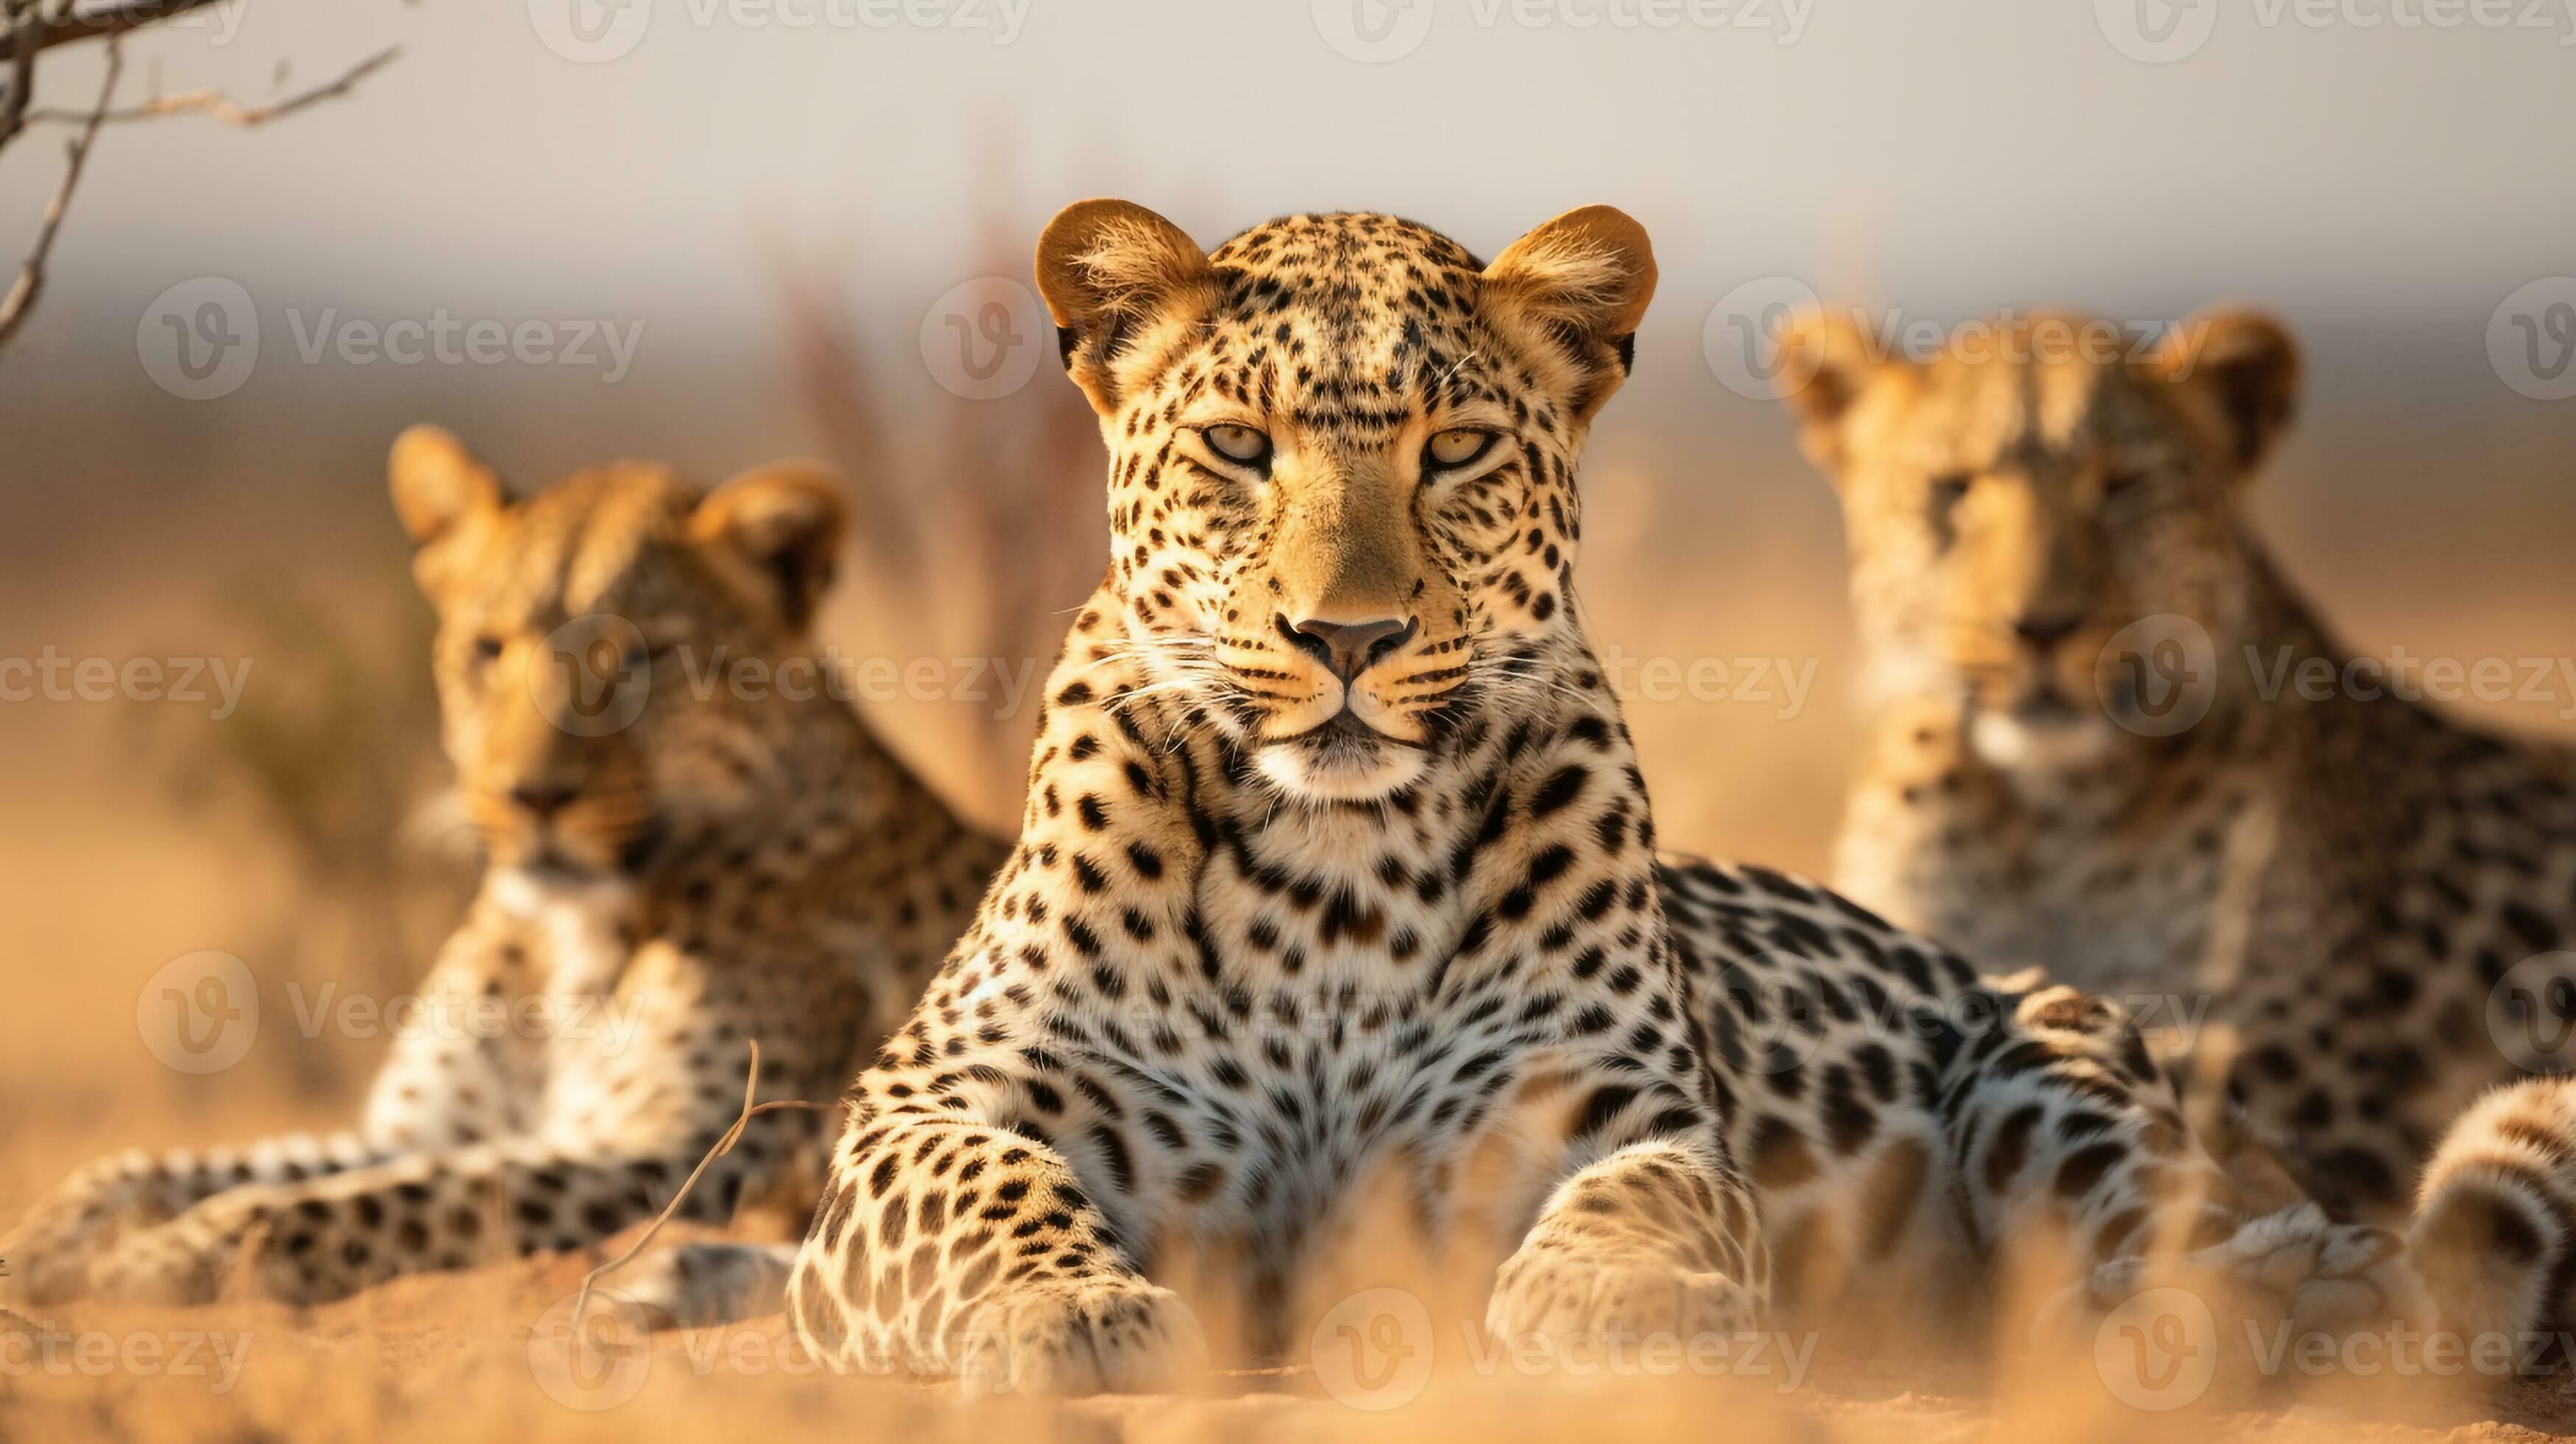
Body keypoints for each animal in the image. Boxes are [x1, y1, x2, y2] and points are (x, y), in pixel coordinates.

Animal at [0, 427, 1005, 1317]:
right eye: (488, 649)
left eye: (643, 655)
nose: (532, 796)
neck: (564, 940)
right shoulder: (426, 1129)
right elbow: (194, 1165)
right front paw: (44, 1241)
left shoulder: (692, 1149)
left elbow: (372, 1200)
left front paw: (163, 1258)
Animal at [779, 202, 2416, 1398]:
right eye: (1239, 447)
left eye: (1452, 451)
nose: (1346, 636)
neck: (1328, 866)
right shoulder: (922, 1101)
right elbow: (982, 1188)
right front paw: (1066, 1308)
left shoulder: (1608, 1102)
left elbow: (1644, 1194)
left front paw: (1612, 1300)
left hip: (2049, 1055)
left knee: (2169, 1245)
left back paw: (2293, 1281)